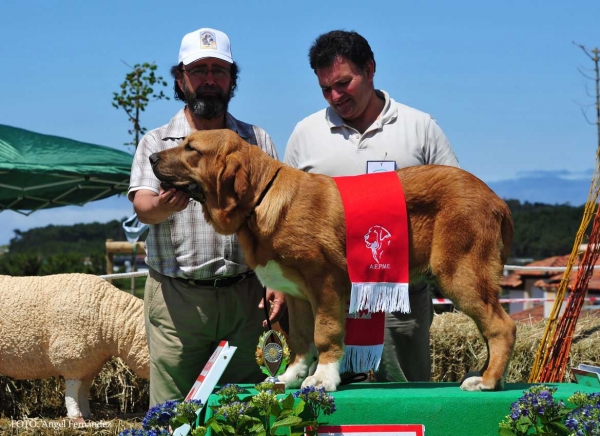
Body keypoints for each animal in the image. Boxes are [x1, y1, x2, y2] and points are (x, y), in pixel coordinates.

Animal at [0, 272, 149, 418]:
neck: (104, 316)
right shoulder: (71, 356)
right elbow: (73, 389)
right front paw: (75, 416)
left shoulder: (89, 364)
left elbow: (84, 390)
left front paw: (87, 414)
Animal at [150, 129, 516, 392]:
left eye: (191, 149)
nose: (151, 156)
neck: (260, 198)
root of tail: (496, 199)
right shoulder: (296, 295)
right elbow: (301, 337)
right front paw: (292, 376)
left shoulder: (324, 283)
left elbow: (325, 332)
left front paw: (322, 378)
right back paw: (488, 376)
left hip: (461, 274)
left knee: (501, 326)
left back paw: (486, 381)